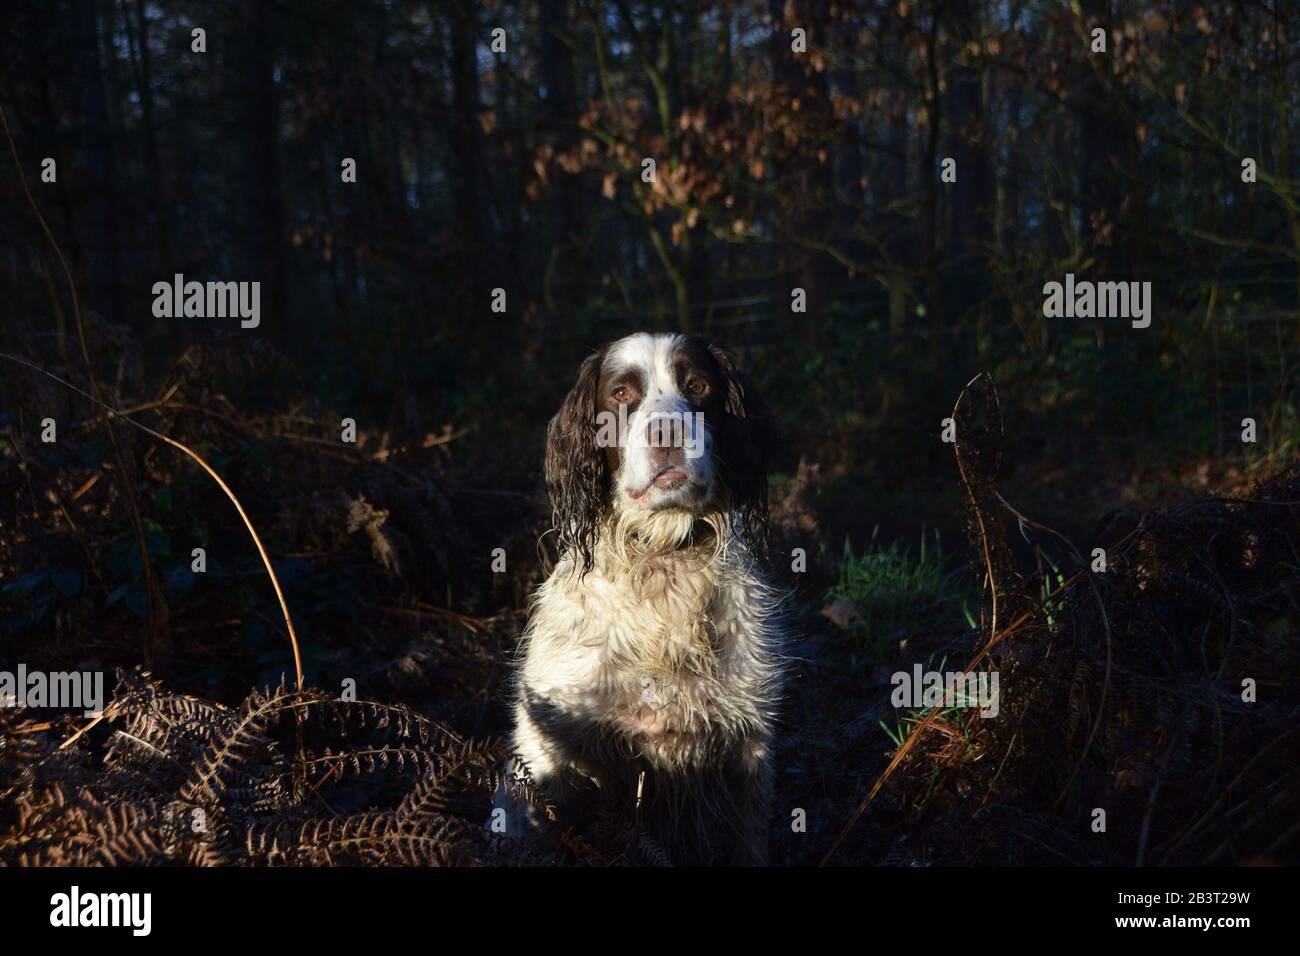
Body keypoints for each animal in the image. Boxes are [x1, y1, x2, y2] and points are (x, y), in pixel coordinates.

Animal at [496, 330, 780, 868]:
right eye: (621, 394)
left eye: (698, 385)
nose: (667, 432)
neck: (661, 562)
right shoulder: (556, 753)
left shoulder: (743, 750)